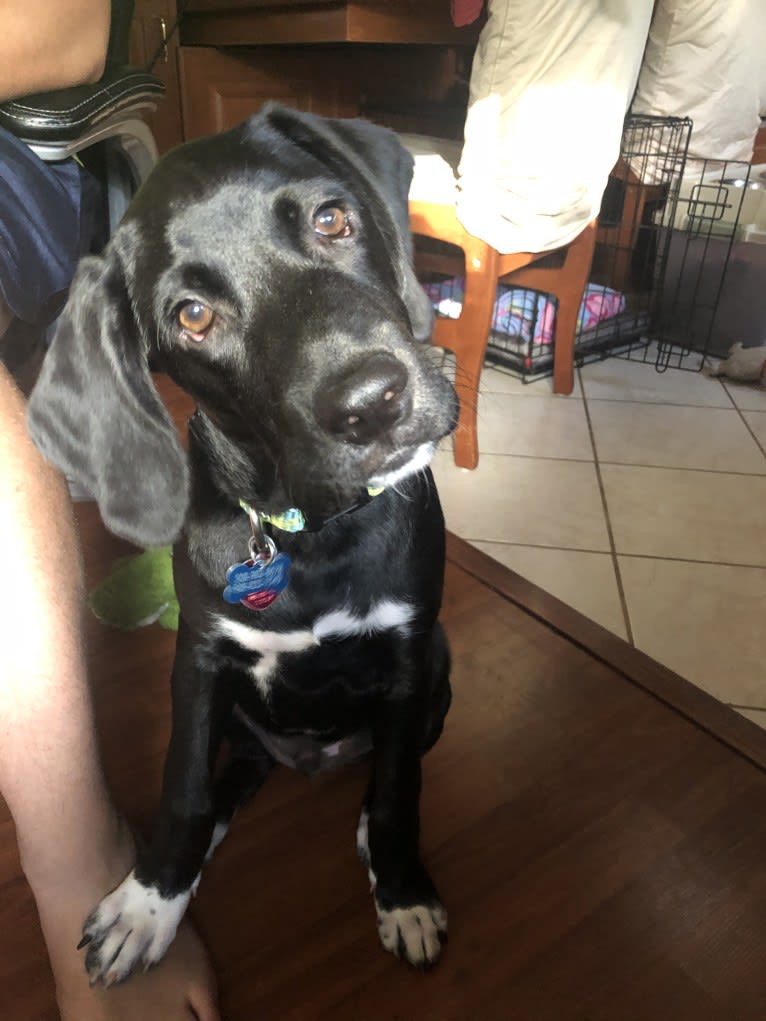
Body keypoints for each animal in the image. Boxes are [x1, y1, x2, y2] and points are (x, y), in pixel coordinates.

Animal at [30, 101, 459, 980]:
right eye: (193, 316)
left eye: (332, 219)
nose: (373, 401)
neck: (309, 532)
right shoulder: (198, 663)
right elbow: (185, 787)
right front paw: (150, 900)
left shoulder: (408, 655)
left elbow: (400, 787)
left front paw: (401, 889)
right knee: (231, 780)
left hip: (441, 667)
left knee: (387, 771)